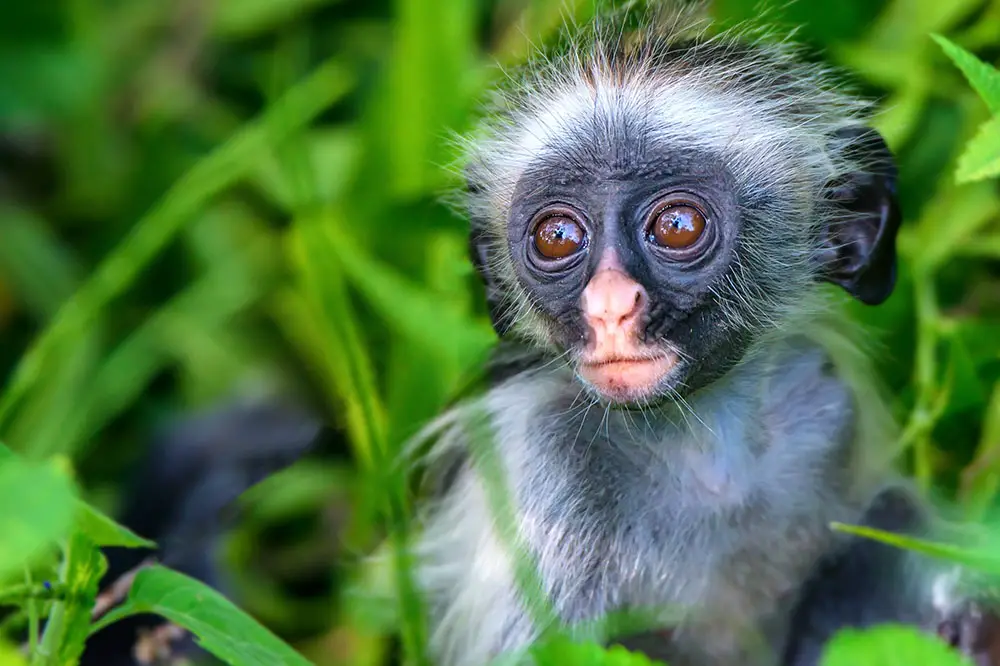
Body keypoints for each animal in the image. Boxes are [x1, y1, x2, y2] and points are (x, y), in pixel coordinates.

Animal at [410, 5, 996, 664]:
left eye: (678, 226)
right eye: (557, 237)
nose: (610, 307)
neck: (707, 448)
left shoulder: (826, 403)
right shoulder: (542, 464)